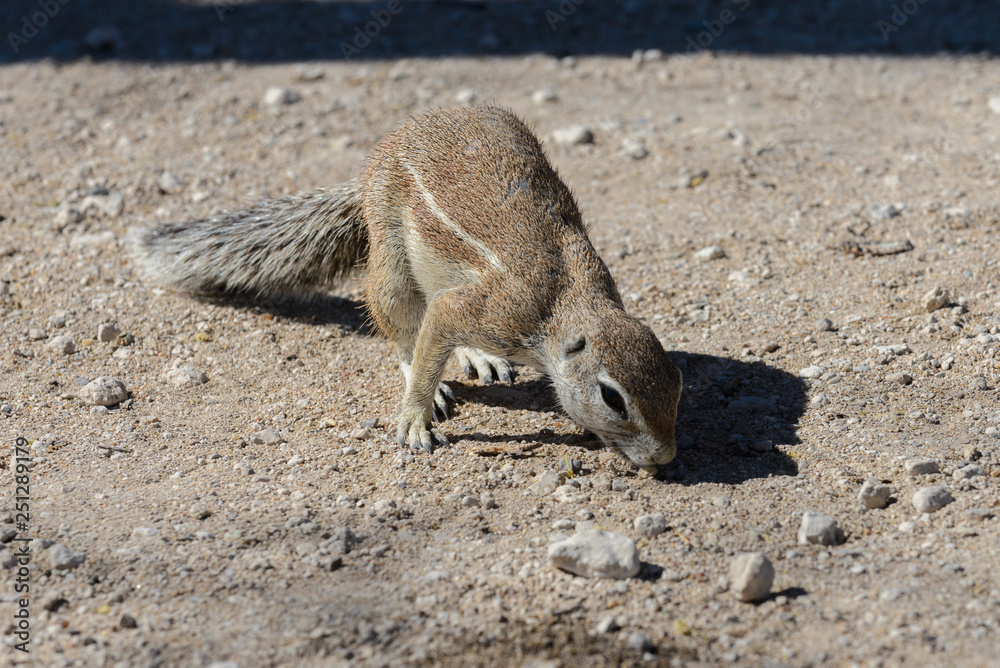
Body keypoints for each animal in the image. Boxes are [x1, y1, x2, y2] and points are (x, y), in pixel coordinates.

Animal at [136, 106, 683, 468]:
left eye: (678, 386)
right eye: (613, 398)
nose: (665, 458)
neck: (569, 303)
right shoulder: (492, 311)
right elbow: (430, 337)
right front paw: (415, 418)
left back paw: (479, 358)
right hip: (392, 264)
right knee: (401, 329)